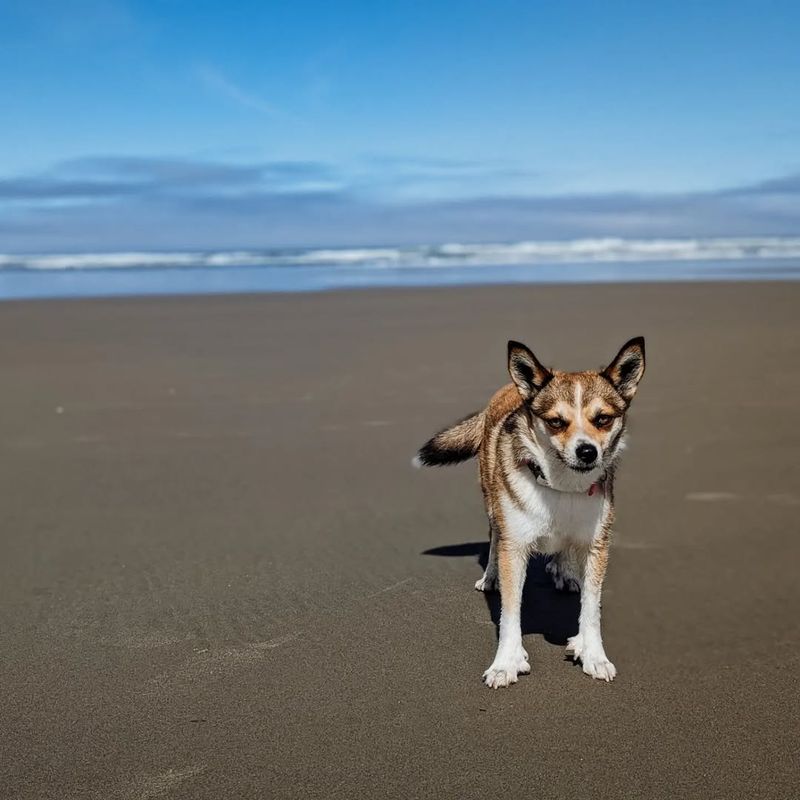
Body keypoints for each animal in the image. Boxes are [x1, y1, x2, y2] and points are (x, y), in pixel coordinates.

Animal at [412, 338, 644, 688]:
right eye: (556, 422)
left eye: (603, 419)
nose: (587, 452)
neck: (562, 485)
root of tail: (513, 387)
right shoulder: (515, 547)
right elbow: (510, 612)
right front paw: (506, 662)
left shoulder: (596, 547)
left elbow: (591, 609)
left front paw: (593, 654)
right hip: (492, 502)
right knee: (495, 536)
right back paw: (491, 575)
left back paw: (563, 569)